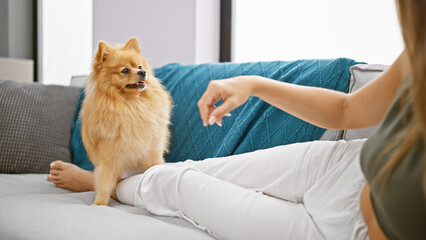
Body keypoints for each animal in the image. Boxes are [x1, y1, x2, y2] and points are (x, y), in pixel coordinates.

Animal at [81, 37, 171, 206]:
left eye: (140, 67)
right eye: (125, 70)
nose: (143, 72)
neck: (131, 106)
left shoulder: (151, 154)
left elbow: (153, 170)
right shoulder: (108, 160)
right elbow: (104, 183)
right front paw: (99, 203)